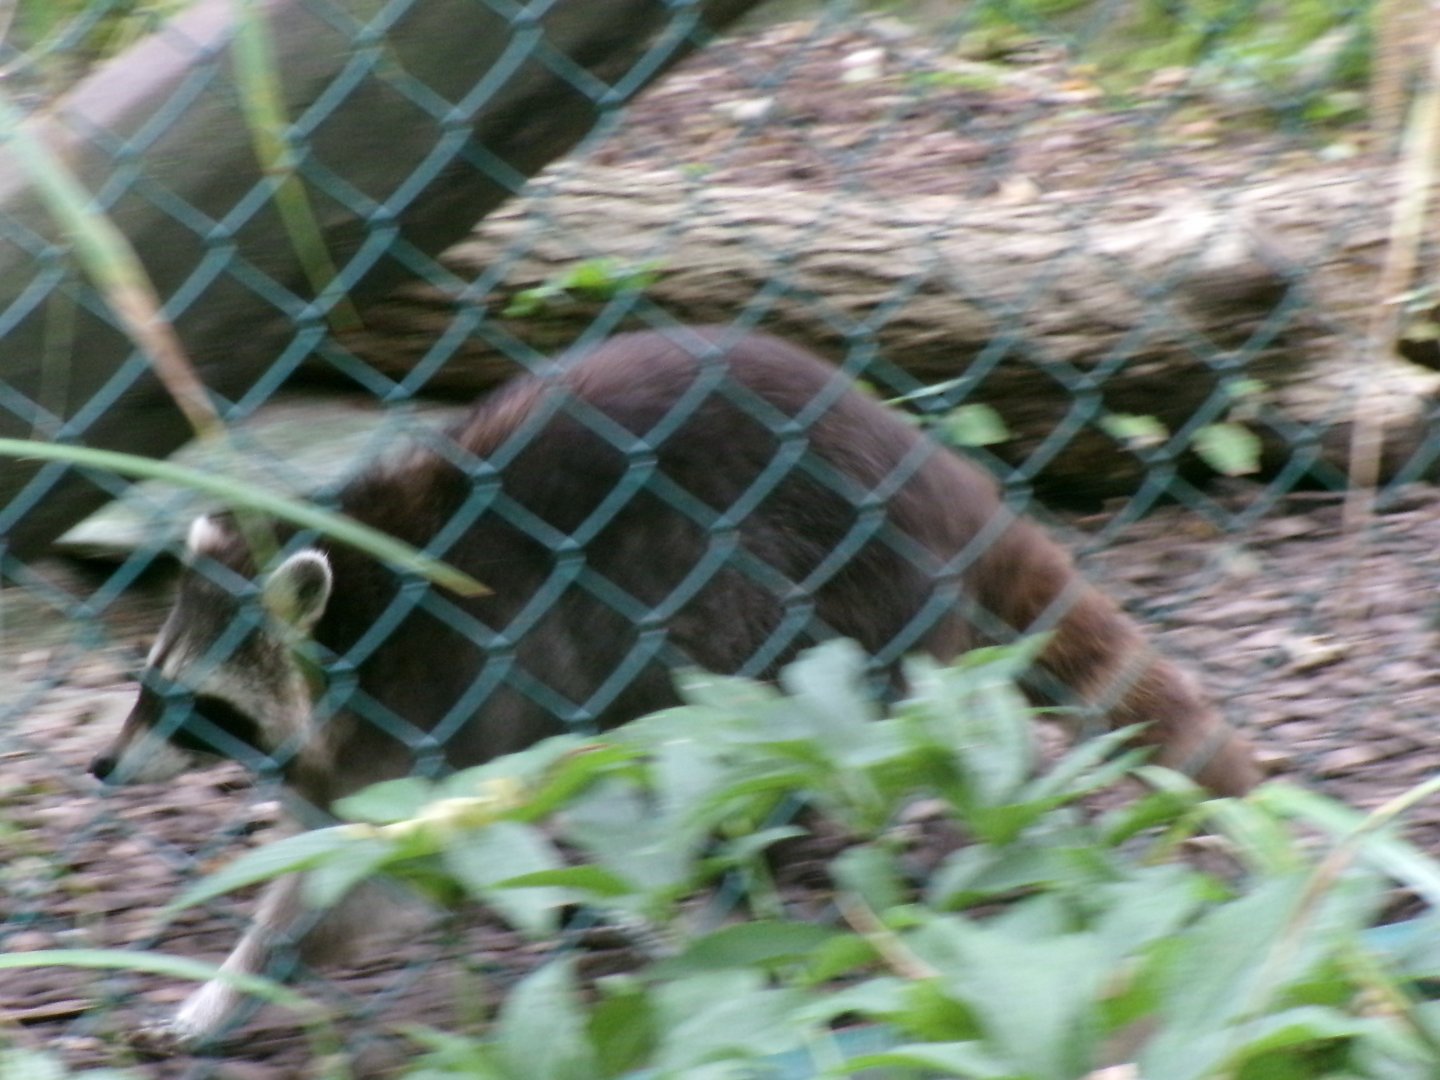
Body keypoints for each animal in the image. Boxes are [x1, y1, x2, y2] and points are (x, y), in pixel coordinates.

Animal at [91, 326, 1261, 1049]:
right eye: (149, 684)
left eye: (187, 700)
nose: (103, 765)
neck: (358, 609)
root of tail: (938, 478)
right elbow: (334, 850)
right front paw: (233, 977)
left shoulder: (451, 702)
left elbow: (378, 875)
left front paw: (243, 972)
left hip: (803, 595)